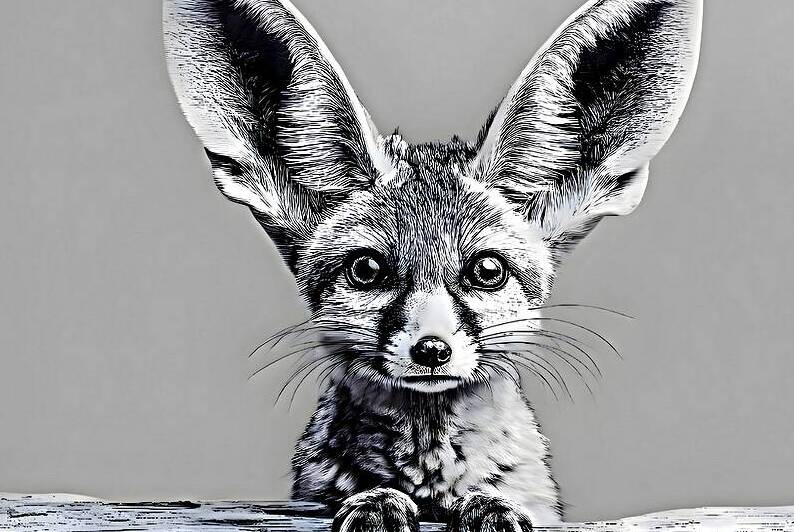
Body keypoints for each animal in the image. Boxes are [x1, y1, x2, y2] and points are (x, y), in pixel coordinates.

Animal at [164, 0, 702, 530]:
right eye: (367, 270)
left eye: (487, 271)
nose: (432, 349)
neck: (430, 484)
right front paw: (376, 501)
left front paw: (490, 506)